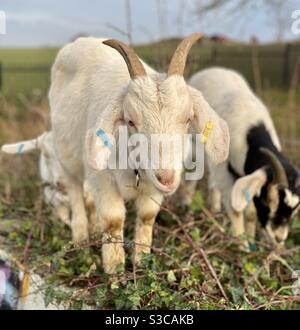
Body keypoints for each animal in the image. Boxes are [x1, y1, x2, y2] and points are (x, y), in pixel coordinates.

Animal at [48, 34, 230, 274]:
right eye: (130, 121)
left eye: (188, 118)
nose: (166, 177)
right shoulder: (102, 178)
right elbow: (113, 220)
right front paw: (114, 267)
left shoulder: (152, 188)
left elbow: (147, 216)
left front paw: (141, 259)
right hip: (67, 158)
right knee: (76, 192)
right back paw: (81, 240)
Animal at [189, 67, 298, 248]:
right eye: (267, 201)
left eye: (295, 208)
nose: (278, 238)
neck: (251, 134)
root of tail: (211, 69)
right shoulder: (224, 169)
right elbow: (236, 209)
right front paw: (242, 243)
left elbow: (251, 211)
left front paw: (251, 238)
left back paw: (214, 210)